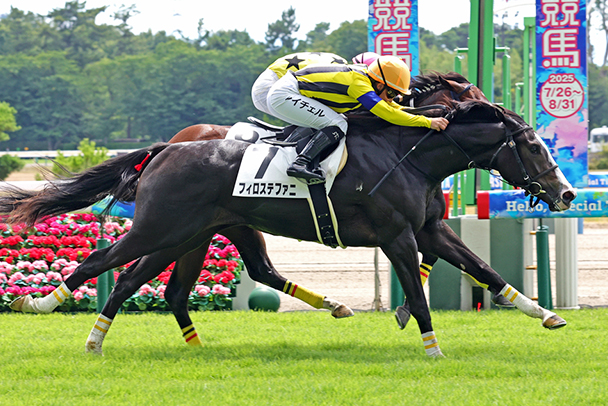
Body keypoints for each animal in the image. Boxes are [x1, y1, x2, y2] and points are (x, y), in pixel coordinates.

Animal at [1, 100, 576, 357]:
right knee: (104, 264)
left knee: (149, 283)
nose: (566, 193)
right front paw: (431, 346)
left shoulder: (431, 230)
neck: (409, 156)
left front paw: (547, 315)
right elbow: (416, 289)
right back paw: (42, 305)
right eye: (532, 146)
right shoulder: (397, 237)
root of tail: (166, 148)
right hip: (160, 229)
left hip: (189, 234)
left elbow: (484, 268)